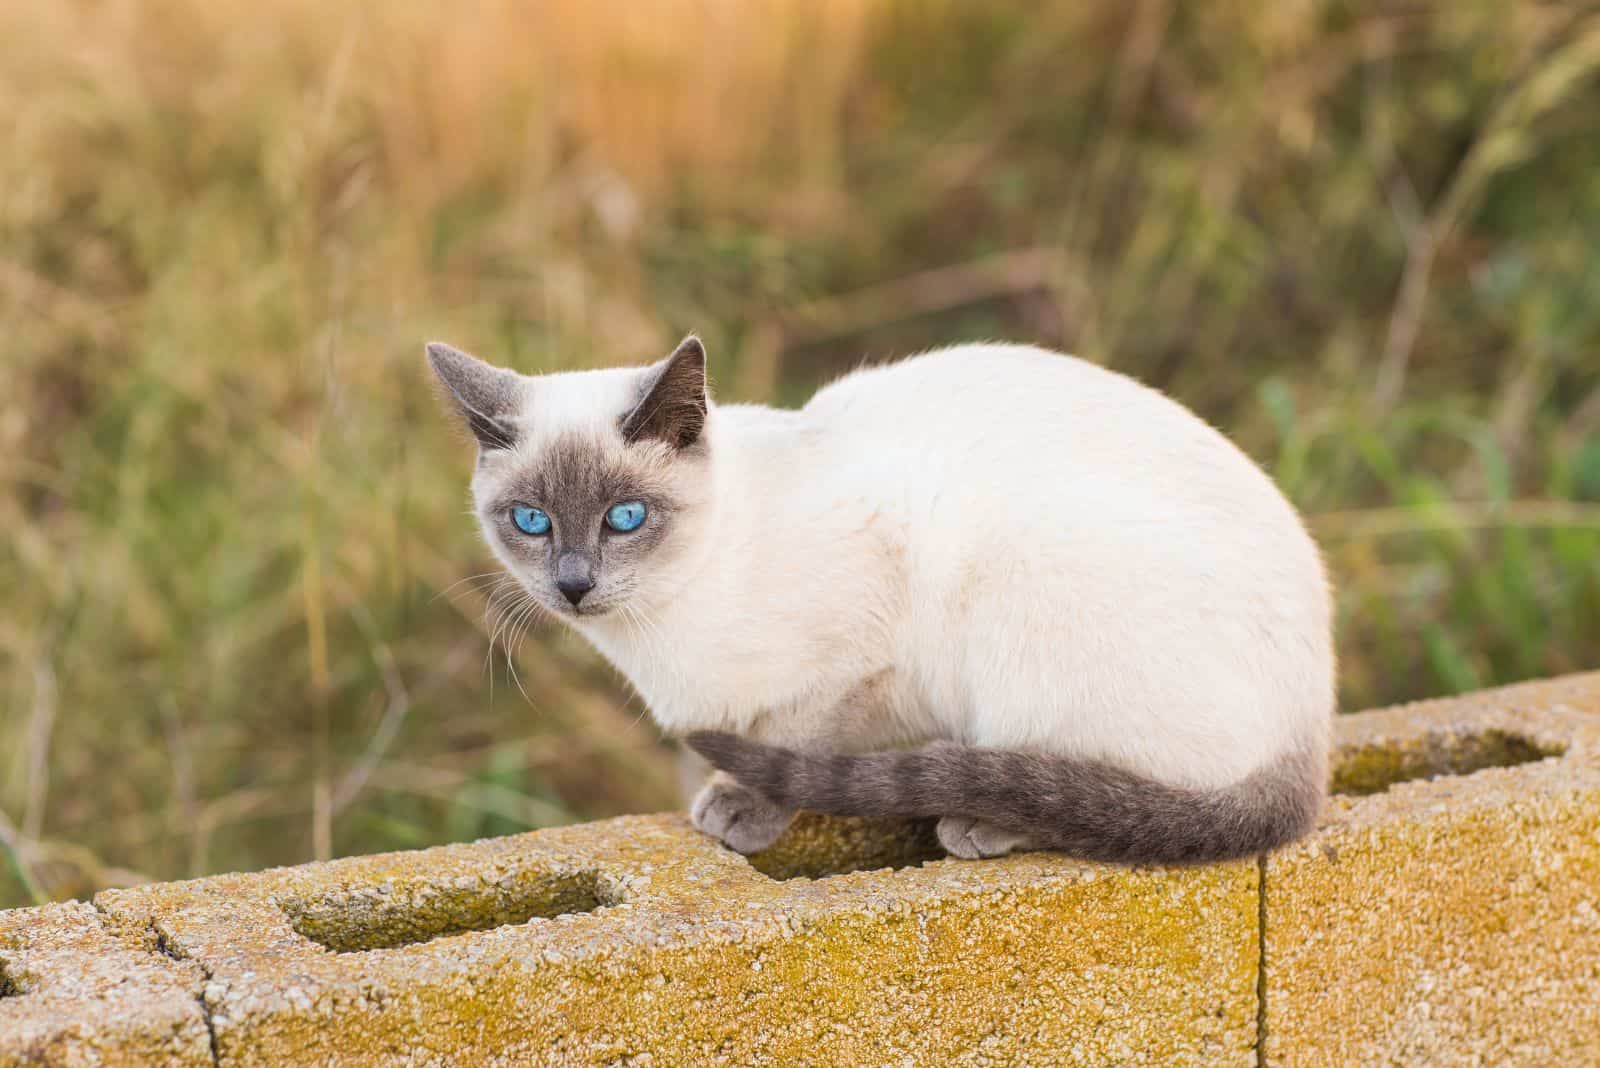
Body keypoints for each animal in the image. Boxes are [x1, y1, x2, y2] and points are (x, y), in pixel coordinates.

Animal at [428, 337, 1337, 863]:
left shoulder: (862, 650)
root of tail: (1312, 731)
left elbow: (794, 738)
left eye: (625, 518)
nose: (573, 585)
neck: (658, 627)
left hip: (1024, 574)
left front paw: (740, 810)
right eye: (531, 521)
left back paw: (980, 824)